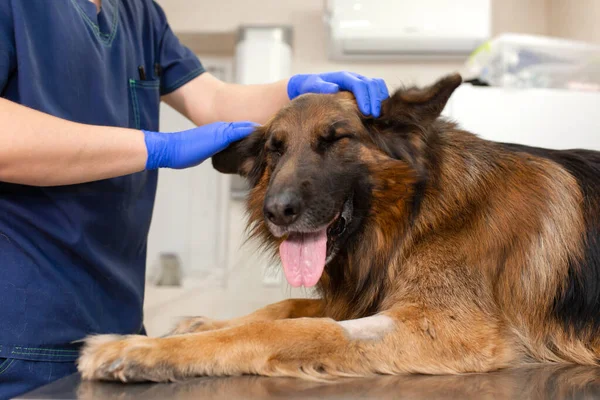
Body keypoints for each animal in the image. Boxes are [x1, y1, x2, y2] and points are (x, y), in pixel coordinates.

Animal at [77, 73, 600, 382]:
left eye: (335, 140)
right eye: (274, 150)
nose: (277, 212)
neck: (417, 212)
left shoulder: (446, 329)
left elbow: (298, 330)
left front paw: (139, 349)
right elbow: (286, 307)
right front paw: (198, 325)